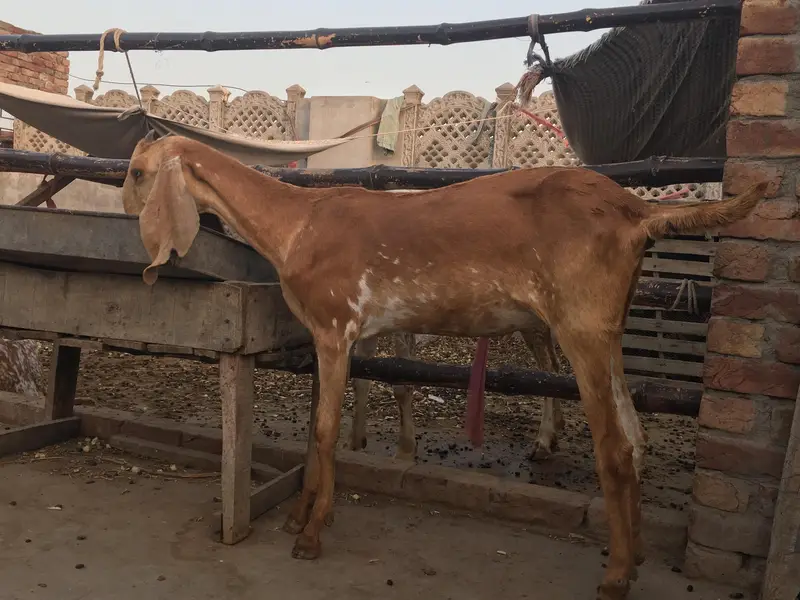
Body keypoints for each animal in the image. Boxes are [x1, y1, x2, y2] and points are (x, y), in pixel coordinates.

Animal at [122, 132, 764, 600]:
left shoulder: (335, 329)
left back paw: (614, 576)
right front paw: (298, 516)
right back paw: (635, 560)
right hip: (607, 332)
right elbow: (314, 431)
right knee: (634, 436)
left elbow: (326, 433)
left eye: (136, 173)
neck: (297, 222)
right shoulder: (329, 337)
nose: (127, 211)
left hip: (580, 327)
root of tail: (635, 211)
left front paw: (310, 533)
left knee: (611, 446)